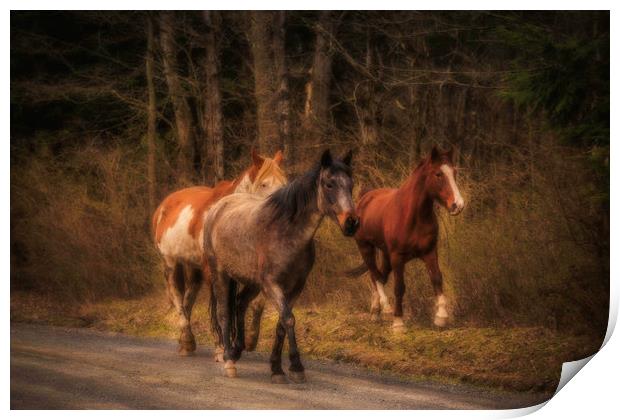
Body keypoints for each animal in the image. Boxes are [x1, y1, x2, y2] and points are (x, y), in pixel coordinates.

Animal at [151, 150, 286, 354]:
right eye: (264, 184)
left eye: (285, 183)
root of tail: (164, 206)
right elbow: (219, 305)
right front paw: (221, 347)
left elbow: (256, 303)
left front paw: (250, 340)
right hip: (171, 262)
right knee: (177, 297)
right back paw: (188, 340)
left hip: (194, 267)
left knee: (188, 298)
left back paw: (185, 342)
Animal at [203, 149, 358, 382]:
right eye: (329, 184)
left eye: (351, 184)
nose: (351, 223)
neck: (285, 232)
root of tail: (218, 207)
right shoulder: (272, 285)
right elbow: (288, 319)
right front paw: (296, 366)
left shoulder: (295, 287)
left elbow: (281, 325)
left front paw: (277, 368)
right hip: (221, 274)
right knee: (224, 313)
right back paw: (229, 359)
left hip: (252, 282)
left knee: (239, 304)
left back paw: (238, 349)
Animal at [348, 146, 460, 334]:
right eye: (438, 174)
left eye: (454, 172)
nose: (458, 205)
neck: (413, 216)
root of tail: (365, 198)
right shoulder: (398, 257)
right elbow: (399, 287)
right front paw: (398, 323)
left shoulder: (430, 252)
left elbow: (437, 278)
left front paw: (441, 317)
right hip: (366, 248)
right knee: (375, 274)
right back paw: (385, 308)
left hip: (385, 254)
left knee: (379, 275)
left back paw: (375, 312)